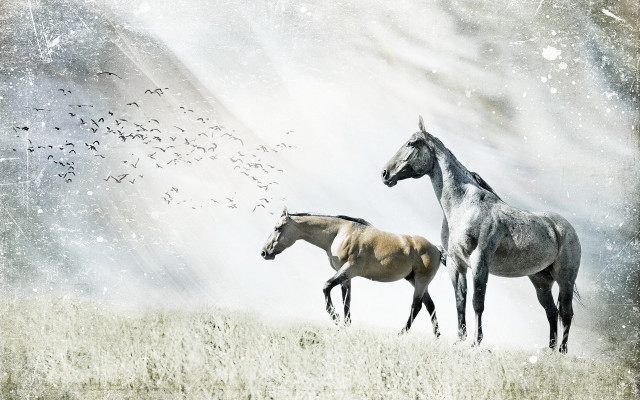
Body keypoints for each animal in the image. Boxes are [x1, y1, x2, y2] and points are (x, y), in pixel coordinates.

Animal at [261, 207, 443, 336]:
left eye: (278, 228)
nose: (264, 252)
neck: (339, 232)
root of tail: (437, 249)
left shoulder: (349, 269)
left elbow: (326, 287)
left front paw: (336, 319)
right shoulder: (346, 277)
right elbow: (346, 301)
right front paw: (345, 326)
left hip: (421, 281)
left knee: (417, 305)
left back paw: (400, 334)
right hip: (414, 280)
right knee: (430, 305)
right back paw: (436, 337)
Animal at [381, 116, 581, 353]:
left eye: (411, 143)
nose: (385, 173)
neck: (464, 206)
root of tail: (565, 228)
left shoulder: (479, 262)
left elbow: (477, 301)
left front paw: (476, 341)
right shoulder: (456, 264)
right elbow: (460, 300)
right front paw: (460, 339)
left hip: (565, 279)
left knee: (566, 313)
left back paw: (562, 352)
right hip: (541, 281)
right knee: (551, 312)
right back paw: (549, 350)